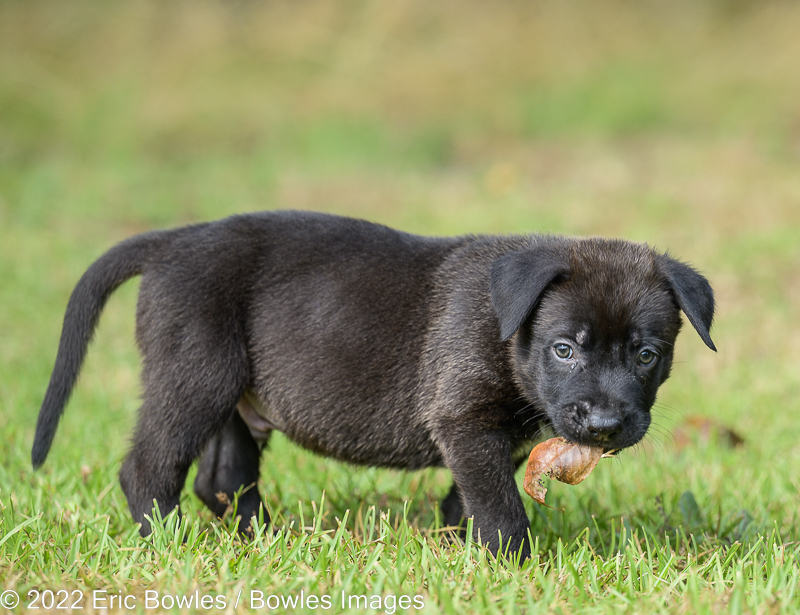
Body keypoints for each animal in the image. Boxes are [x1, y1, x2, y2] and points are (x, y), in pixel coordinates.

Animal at [34, 209, 716, 560]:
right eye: (564, 349)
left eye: (648, 355)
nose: (604, 426)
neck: (508, 335)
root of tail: (173, 241)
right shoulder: (466, 422)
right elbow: (501, 512)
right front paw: (515, 571)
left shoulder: (474, 439)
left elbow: (464, 503)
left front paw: (460, 557)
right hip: (194, 377)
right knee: (149, 469)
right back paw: (168, 545)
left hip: (232, 396)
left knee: (223, 478)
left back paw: (266, 544)